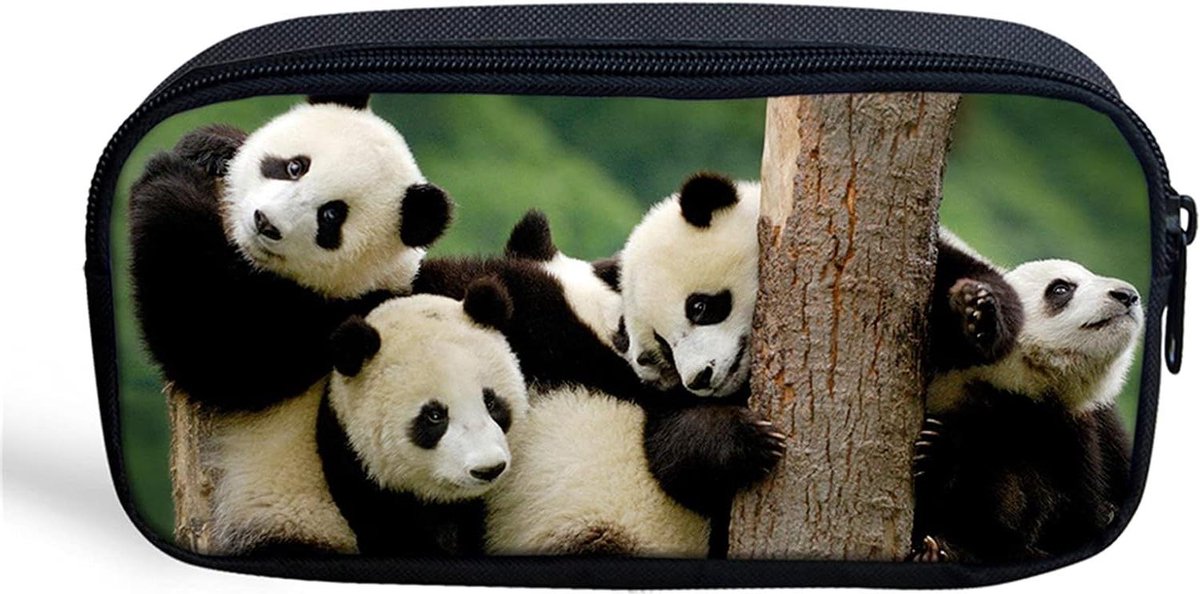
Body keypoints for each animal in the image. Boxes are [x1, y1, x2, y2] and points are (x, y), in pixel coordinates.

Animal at [128, 96, 453, 554]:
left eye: (331, 215)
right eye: (296, 166)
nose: (266, 222)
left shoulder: (332, 323)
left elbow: (219, 347)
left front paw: (167, 179)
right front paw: (211, 146)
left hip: (298, 520)